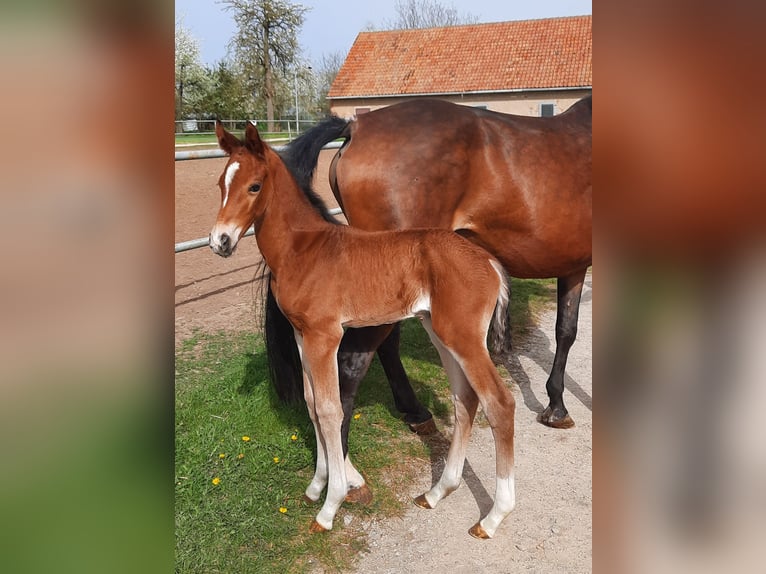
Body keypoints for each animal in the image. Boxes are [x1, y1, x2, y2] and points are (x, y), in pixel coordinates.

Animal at [210, 121, 520, 540]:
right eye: (221, 183)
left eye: (254, 186)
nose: (220, 241)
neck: (303, 249)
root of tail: (488, 260)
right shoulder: (302, 335)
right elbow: (311, 403)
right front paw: (316, 486)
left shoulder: (326, 336)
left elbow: (329, 409)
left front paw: (330, 505)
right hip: (440, 332)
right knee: (464, 399)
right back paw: (436, 493)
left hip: (464, 337)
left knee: (499, 403)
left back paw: (492, 517)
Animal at [268, 98, 596, 450]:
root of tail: (357, 126)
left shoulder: (574, 266)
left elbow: (566, 330)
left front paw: (556, 405)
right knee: (352, 365)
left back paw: (415, 413)